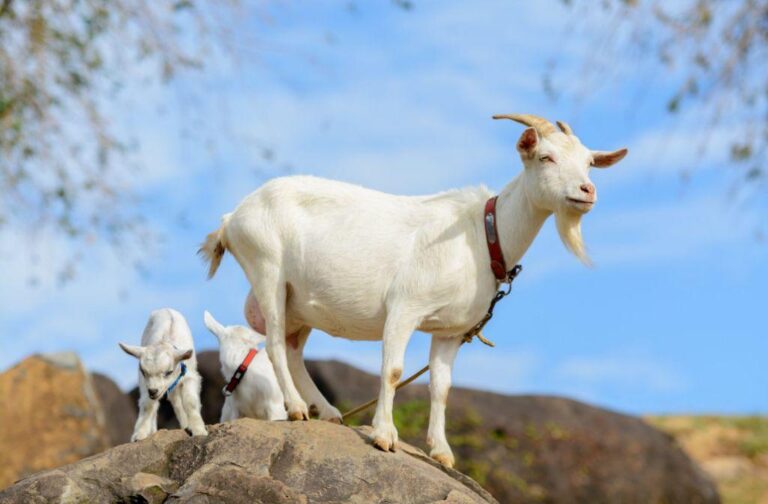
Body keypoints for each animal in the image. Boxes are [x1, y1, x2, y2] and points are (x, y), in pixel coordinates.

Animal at [119, 308, 207, 441]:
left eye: (168, 372)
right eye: (143, 371)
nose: (153, 391)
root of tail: (165, 309)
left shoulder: (189, 376)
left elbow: (190, 401)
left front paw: (198, 430)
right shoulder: (143, 382)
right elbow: (147, 405)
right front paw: (140, 434)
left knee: (177, 403)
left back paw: (186, 425)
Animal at [199, 114, 627, 467]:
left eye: (589, 163)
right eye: (545, 157)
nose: (587, 191)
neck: (481, 234)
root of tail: (231, 218)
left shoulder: (451, 331)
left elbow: (441, 388)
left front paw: (441, 452)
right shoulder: (405, 308)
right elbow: (393, 371)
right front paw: (384, 436)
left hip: (298, 302)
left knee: (292, 350)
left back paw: (328, 412)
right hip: (267, 270)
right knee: (273, 344)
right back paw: (296, 408)